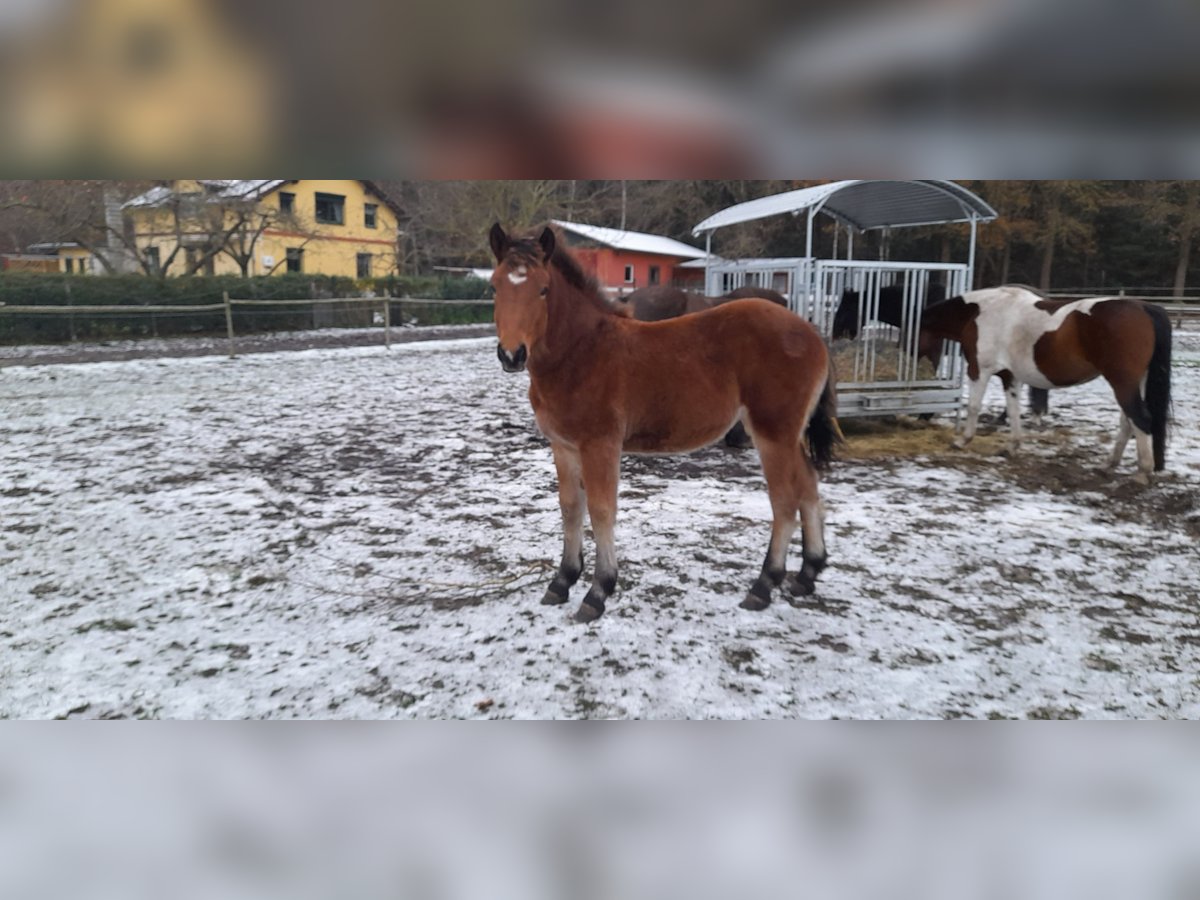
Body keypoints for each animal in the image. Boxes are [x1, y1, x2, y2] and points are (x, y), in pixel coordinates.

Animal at [916, 289, 1171, 487]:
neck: (978, 312)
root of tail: (1144, 307)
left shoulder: (979, 371)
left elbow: (973, 407)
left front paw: (962, 441)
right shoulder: (1009, 376)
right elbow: (1013, 409)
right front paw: (1011, 447)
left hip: (1122, 382)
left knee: (1140, 420)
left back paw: (1142, 473)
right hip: (1135, 382)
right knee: (1128, 422)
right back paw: (1109, 464)